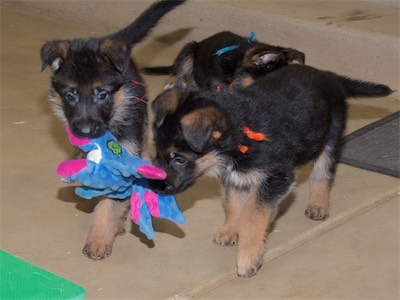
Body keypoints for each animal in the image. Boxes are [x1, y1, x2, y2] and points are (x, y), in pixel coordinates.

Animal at [39, 0, 187, 260]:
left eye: (102, 95)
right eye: (70, 95)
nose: (85, 131)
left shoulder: (123, 159)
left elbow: (110, 205)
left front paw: (99, 239)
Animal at [152, 64, 392, 278]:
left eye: (179, 159)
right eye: (157, 152)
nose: (155, 187)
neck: (239, 131)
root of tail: (329, 76)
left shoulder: (275, 179)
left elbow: (251, 216)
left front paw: (248, 258)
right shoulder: (234, 178)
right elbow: (232, 204)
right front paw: (230, 230)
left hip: (330, 139)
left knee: (322, 174)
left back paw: (318, 205)